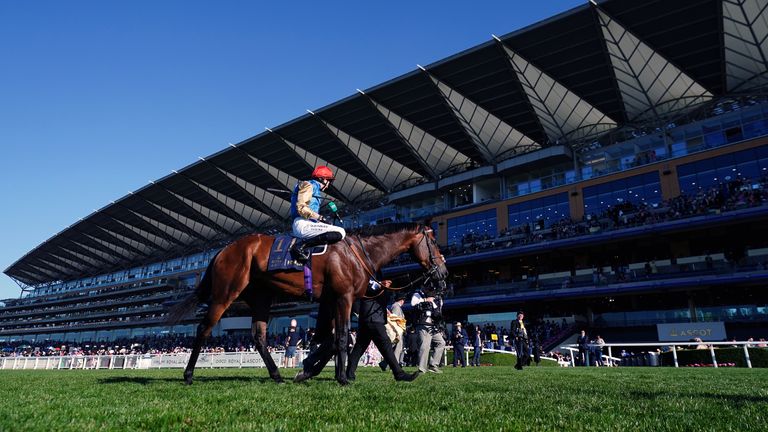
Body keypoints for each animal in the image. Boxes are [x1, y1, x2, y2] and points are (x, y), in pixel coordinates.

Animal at [165, 223, 448, 384]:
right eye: (434, 242)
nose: (443, 273)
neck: (357, 253)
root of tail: (222, 250)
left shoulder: (332, 300)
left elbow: (333, 339)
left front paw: (311, 371)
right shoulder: (343, 296)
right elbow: (342, 336)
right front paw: (342, 377)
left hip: (261, 297)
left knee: (258, 336)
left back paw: (277, 375)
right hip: (226, 292)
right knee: (204, 328)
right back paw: (188, 375)